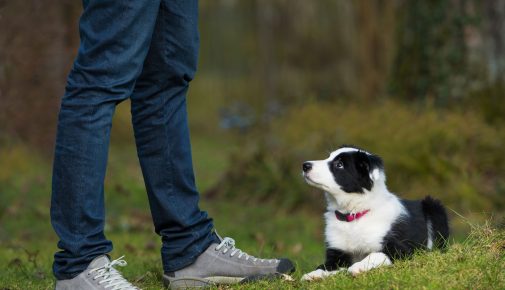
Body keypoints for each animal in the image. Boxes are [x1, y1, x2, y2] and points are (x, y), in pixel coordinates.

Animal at [300, 146, 448, 280]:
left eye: (339, 165)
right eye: (329, 157)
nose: (305, 165)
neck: (353, 216)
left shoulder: (402, 249)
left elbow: (375, 254)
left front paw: (358, 267)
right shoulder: (337, 252)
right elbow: (325, 266)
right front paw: (313, 275)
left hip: (434, 206)